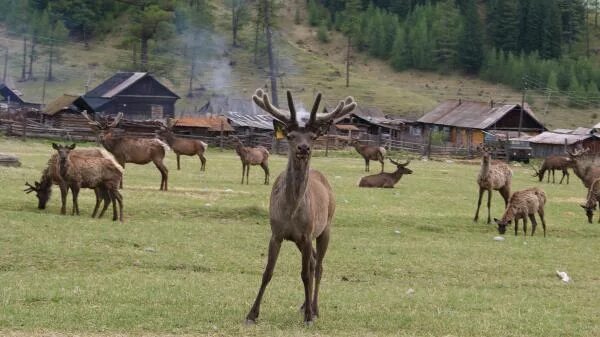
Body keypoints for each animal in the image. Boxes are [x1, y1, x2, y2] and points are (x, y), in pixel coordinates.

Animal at [245, 88, 356, 324]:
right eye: (290, 135)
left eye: (313, 137)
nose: (303, 148)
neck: (291, 211)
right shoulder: (277, 233)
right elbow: (267, 272)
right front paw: (252, 314)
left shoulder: (306, 234)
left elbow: (305, 274)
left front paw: (308, 318)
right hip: (301, 239)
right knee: (313, 262)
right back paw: (306, 305)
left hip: (326, 227)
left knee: (318, 266)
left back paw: (314, 309)